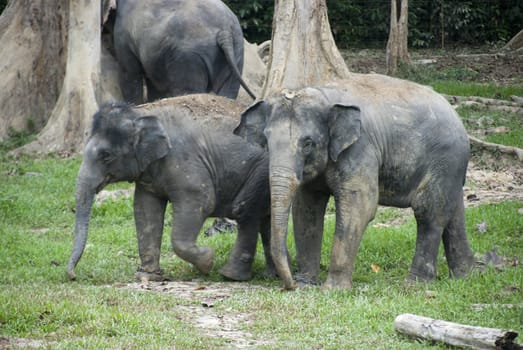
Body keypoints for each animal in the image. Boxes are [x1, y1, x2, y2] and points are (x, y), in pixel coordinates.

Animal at [66, 94, 274, 284]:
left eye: (106, 155)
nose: (73, 276)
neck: (140, 111)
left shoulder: (185, 163)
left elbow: (202, 201)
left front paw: (207, 261)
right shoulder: (149, 176)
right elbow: (145, 210)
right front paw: (148, 277)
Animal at [111, 0, 256, 104]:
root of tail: (224, 30)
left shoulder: (123, 33)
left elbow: (128, 72)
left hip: (188, 55)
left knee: (189, 89)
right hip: (237, 50)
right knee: (228, 90)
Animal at [235, 75, 476, 292]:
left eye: (308, 143)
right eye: (266, 141)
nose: (290, 284)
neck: (323, 94)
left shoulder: (360, 148)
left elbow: (360, 206)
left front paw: (333, 290)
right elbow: (306, 209)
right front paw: (306, 284)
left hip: (445, 159)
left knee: (429, 213)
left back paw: (414, 285)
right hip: (451, 168)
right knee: (453, 213)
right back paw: (465, 276)